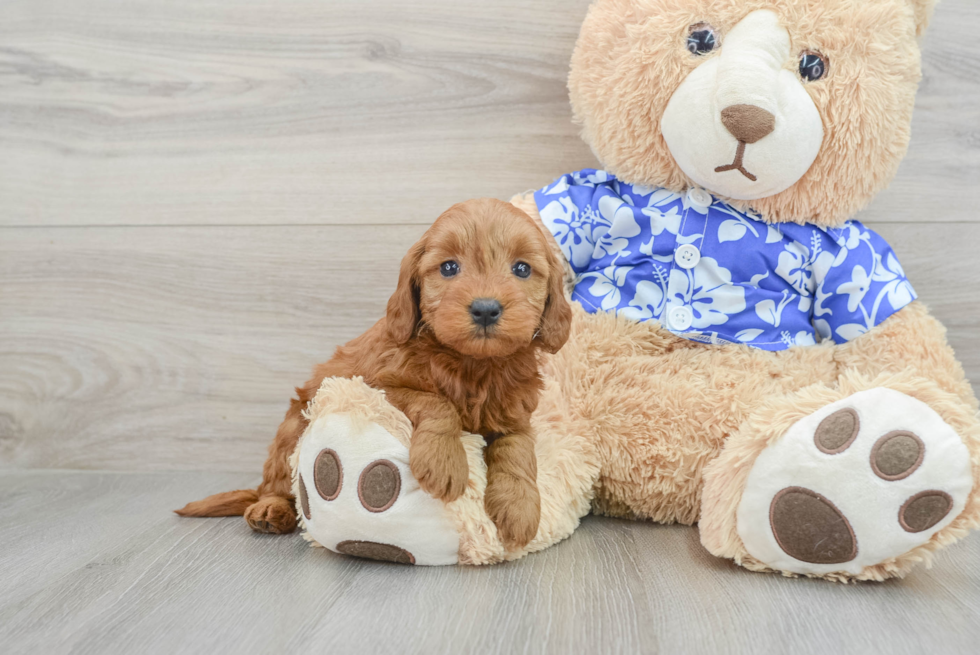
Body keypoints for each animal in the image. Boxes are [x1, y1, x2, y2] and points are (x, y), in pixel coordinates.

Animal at [180, 199, 572, 548]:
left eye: (522, 269)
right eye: (448, 268)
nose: (486, 309)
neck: (474, 364)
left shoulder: (514, 413)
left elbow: (518, 451)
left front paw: (520, 508)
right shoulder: (377, 386)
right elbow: (437, 403)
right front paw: (443, 462)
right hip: (291, 430)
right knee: (278, 485)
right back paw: (269, 510)